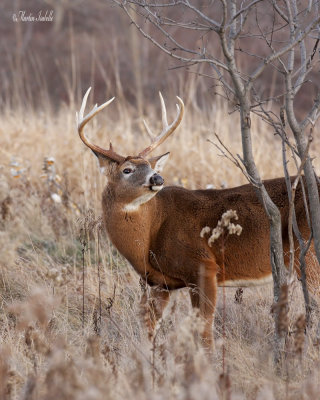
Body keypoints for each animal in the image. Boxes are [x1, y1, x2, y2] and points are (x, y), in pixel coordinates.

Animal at [77, 89, 318, 348]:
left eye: (150, 165)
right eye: (127, 170)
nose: (157, 178)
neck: (151, 232)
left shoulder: (204, 266)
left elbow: (204, 330)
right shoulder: (162, 282)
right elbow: (149, 326)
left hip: (308, 252)